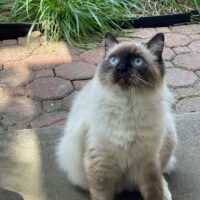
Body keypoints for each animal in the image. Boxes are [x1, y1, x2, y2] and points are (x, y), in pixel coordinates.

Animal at [55, 31, 177, 200]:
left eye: (137, 61)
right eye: (114, 60)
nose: (120, 68)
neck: (128, 105)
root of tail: (126, 186)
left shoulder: (147, 160)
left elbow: (154, 190)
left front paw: (160, 193)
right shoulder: (101, 162)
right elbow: (102, 194)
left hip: (169, 136)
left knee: (161, 174)